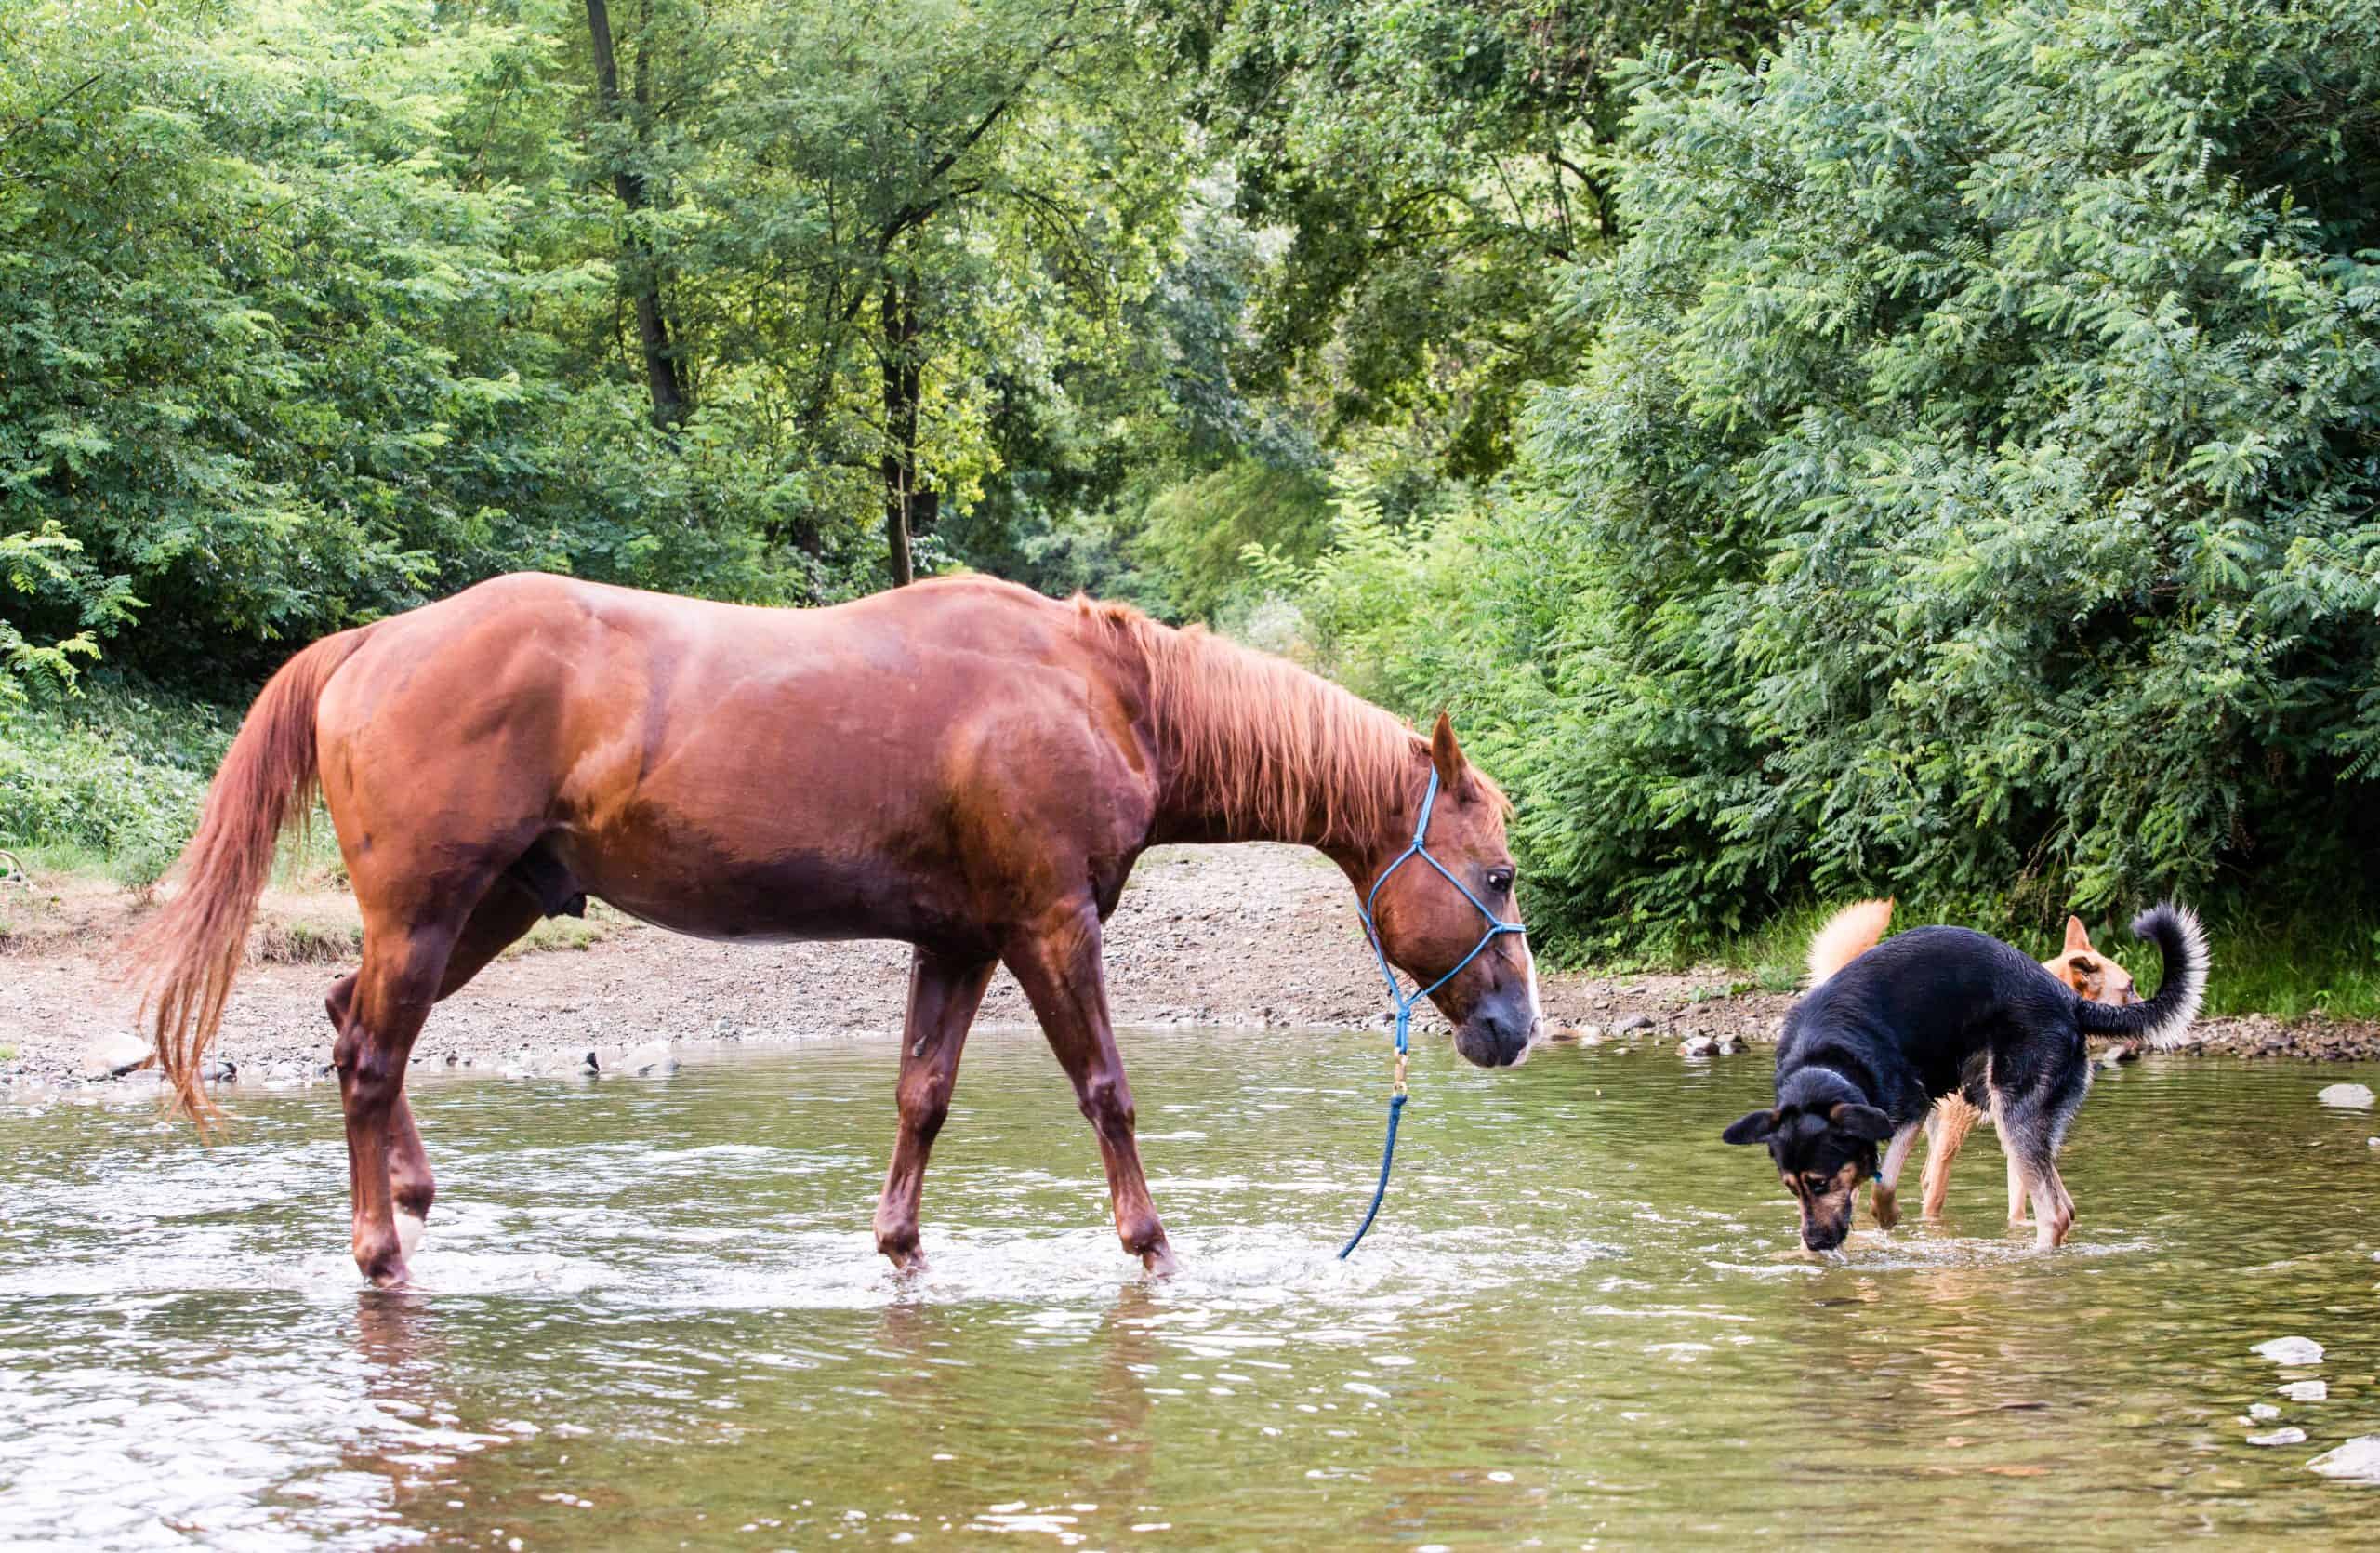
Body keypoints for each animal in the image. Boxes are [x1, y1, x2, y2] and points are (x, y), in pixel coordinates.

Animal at [139, 569, 1541, 1286]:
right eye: (1501, 870)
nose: (1517, 1025)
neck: (1103, 692)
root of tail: (372, 641)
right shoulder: (1048, 923)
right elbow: (1107, 1088)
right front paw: (1152, 1247)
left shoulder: (962, 938)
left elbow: (924, 1094)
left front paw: (899, 1243)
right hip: (435, 907)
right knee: (370, 1057)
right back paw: (379, 1247)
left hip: (492, 905)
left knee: (351, 1028)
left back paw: (417, 1197)